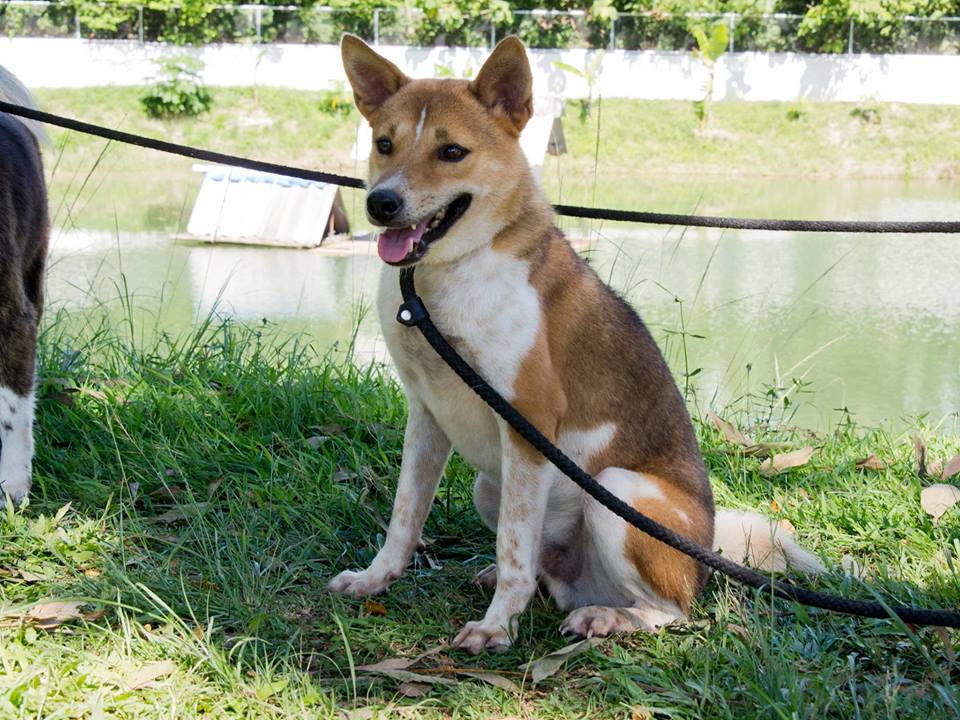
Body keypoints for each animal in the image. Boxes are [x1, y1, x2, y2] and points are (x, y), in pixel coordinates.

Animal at [328, 35, 816, 652]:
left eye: (452, 152)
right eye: (384, 144)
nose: (381, 204)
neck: (440, 279)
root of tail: (705, 554)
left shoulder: (527, 420)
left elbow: (513, 547)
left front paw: (496, 627)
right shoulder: (426, 414)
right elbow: (404, 516)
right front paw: (376, 579)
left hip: (617, 492)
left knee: (672, 609)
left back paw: (607, 617)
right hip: (490, 485)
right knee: (543, 568)